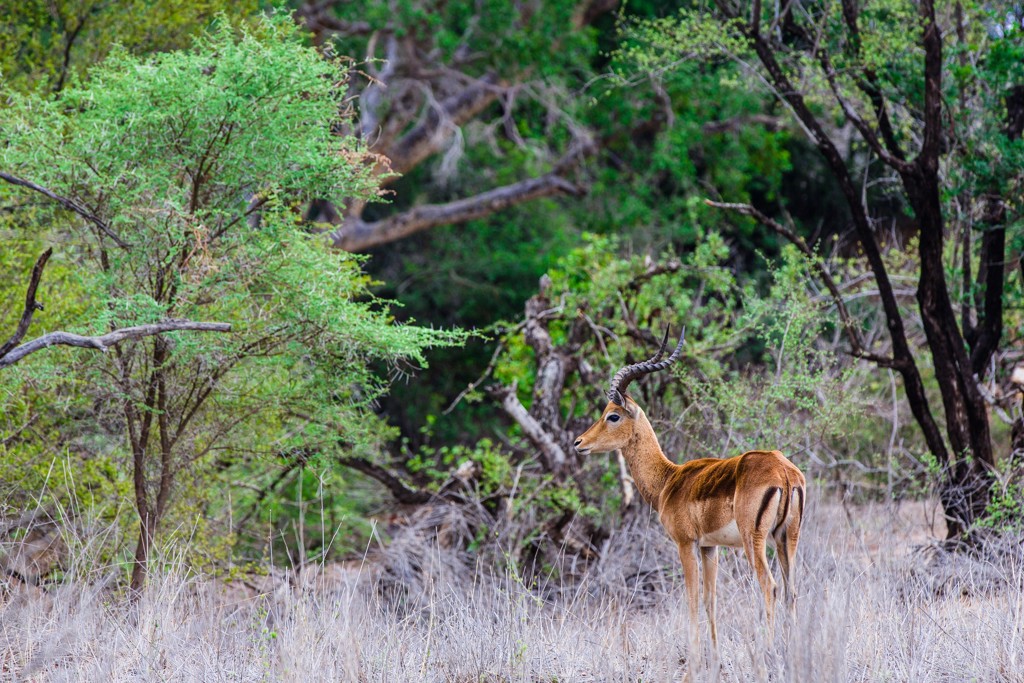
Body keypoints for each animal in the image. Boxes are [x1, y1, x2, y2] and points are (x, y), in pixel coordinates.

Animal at [573, 330, 805, 654]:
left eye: (613, 415)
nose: (579, 443)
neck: (668, 480)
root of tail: (784, 470)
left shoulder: (686, 543)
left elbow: (692, 599)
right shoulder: (710, 547)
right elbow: (710, 600)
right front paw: (713, 654)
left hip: (755, 540)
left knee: (769, 585)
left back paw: (769, 650)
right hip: (788, 537)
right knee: (791, 590)